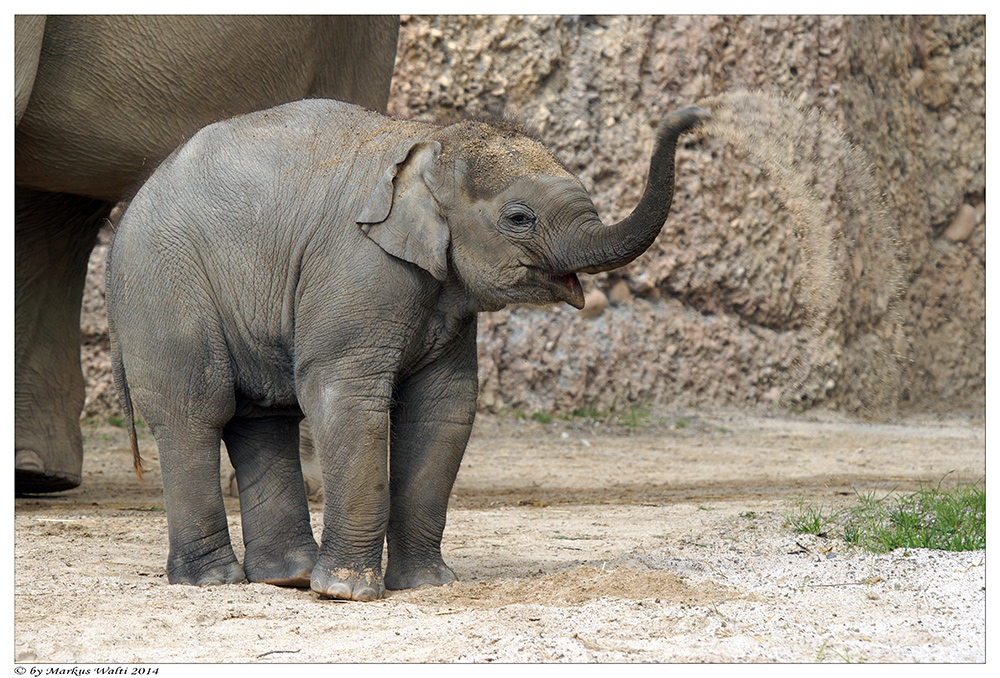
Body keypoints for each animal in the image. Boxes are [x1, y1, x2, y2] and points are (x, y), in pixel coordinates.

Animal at [105, 99, 708, 600]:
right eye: (518, 218)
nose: (695, 118)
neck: (430, 139)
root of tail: (125, 215)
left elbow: (444, 408)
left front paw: (427, 586)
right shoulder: (358, 264)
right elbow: (345, 396)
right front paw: (346, 594)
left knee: (263, 418)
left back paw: (288, 577)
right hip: (165, 288)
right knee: (196, 412)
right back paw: (213, 582)